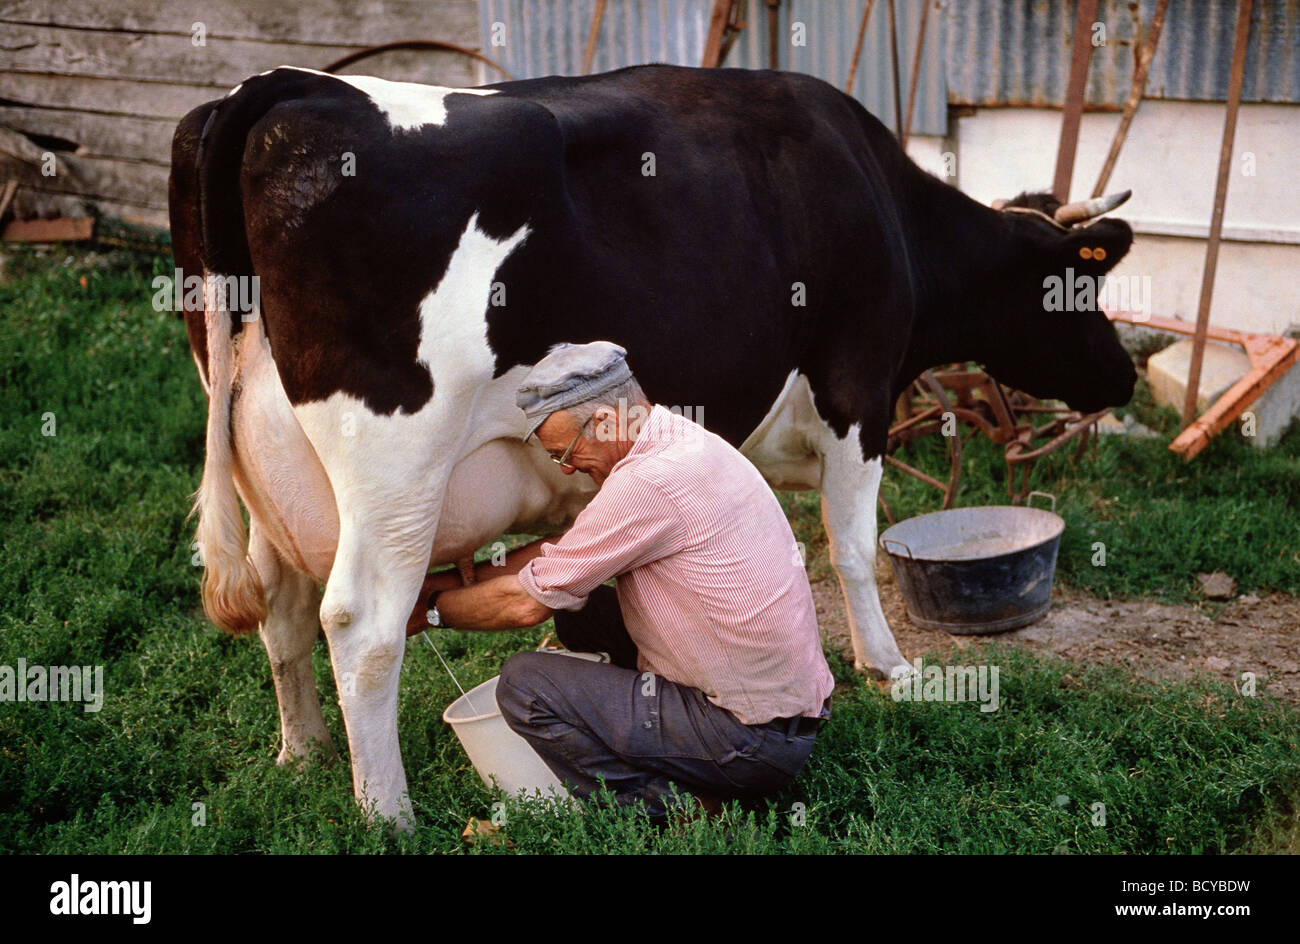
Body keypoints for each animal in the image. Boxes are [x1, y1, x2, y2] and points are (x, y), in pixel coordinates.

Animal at [167, 62, 1133, 826]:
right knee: (360, 623)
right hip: (395, 466)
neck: (878, 195)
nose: (1124, 377)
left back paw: (304, 755)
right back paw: (389, 814)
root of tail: (284, 87)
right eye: (1076, 283)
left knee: (283, 606)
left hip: (260, 468)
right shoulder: (857, 387)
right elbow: (855, 545)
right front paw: (889, 669)